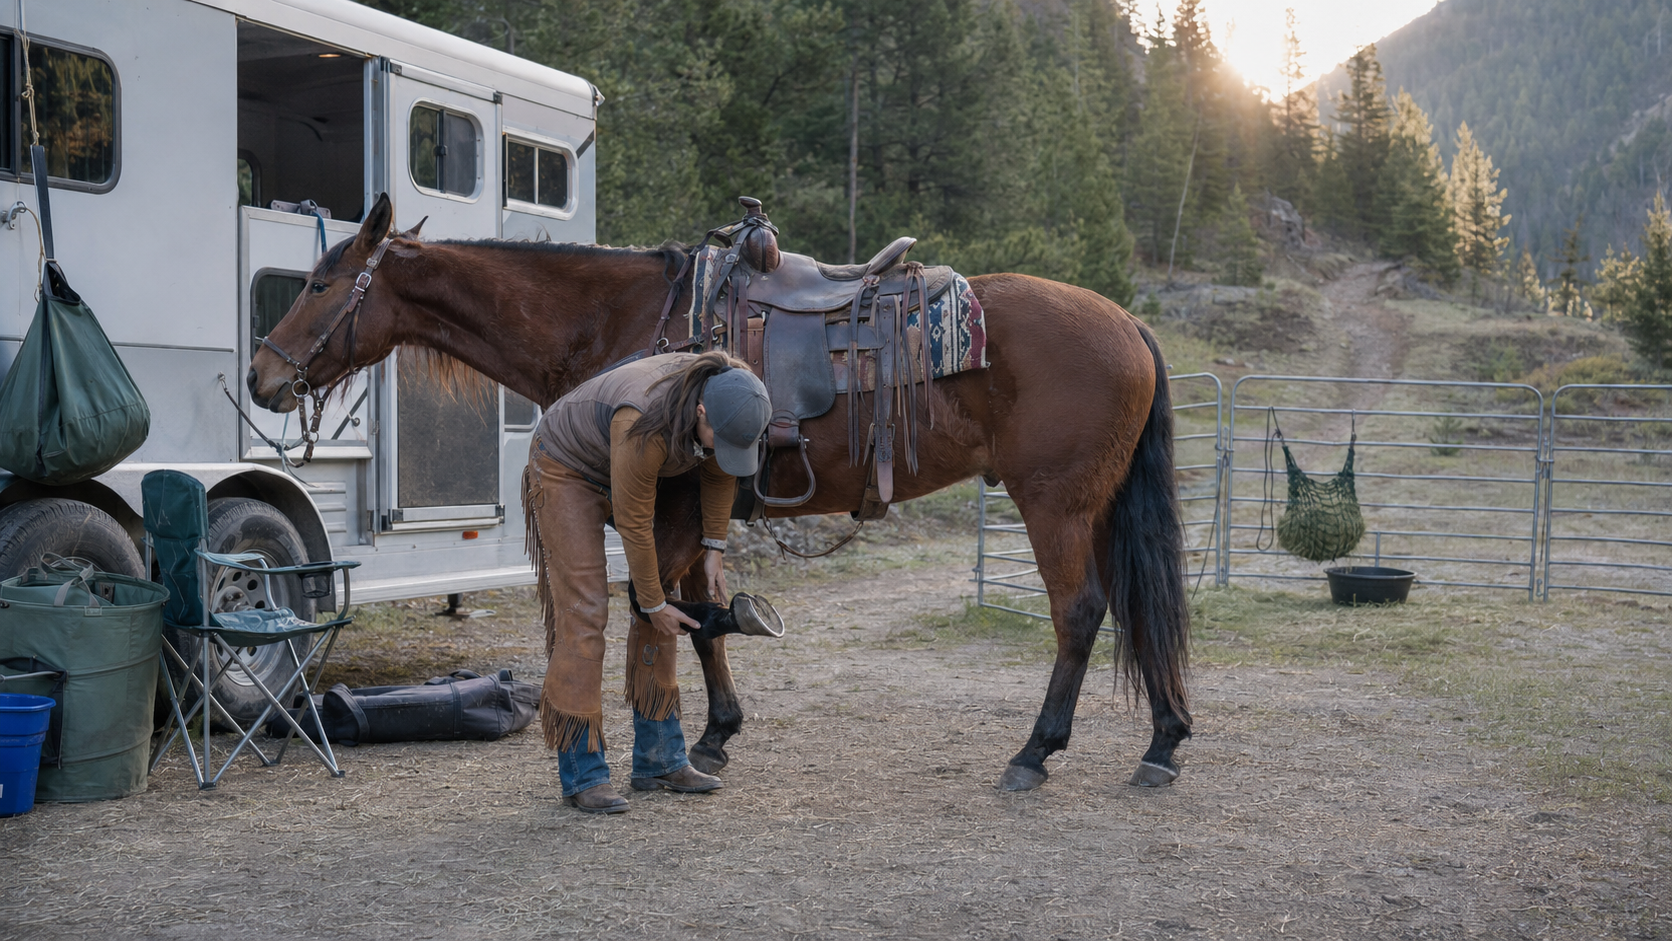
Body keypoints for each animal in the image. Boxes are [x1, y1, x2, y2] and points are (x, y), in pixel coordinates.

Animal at [247, 193, 1192, 791]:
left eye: (320, 283)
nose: (262, 374)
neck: (627, 319)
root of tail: (1131, 325)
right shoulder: (697, 500)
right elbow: (703, 615)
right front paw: (716, 733)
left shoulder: (663, 499)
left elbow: (675, 614)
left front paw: (690, 739)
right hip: (1098, 507)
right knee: (1137, 606)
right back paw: (1164, 742)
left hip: (1055, 504)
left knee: (1079, 612)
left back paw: (1036, 752)